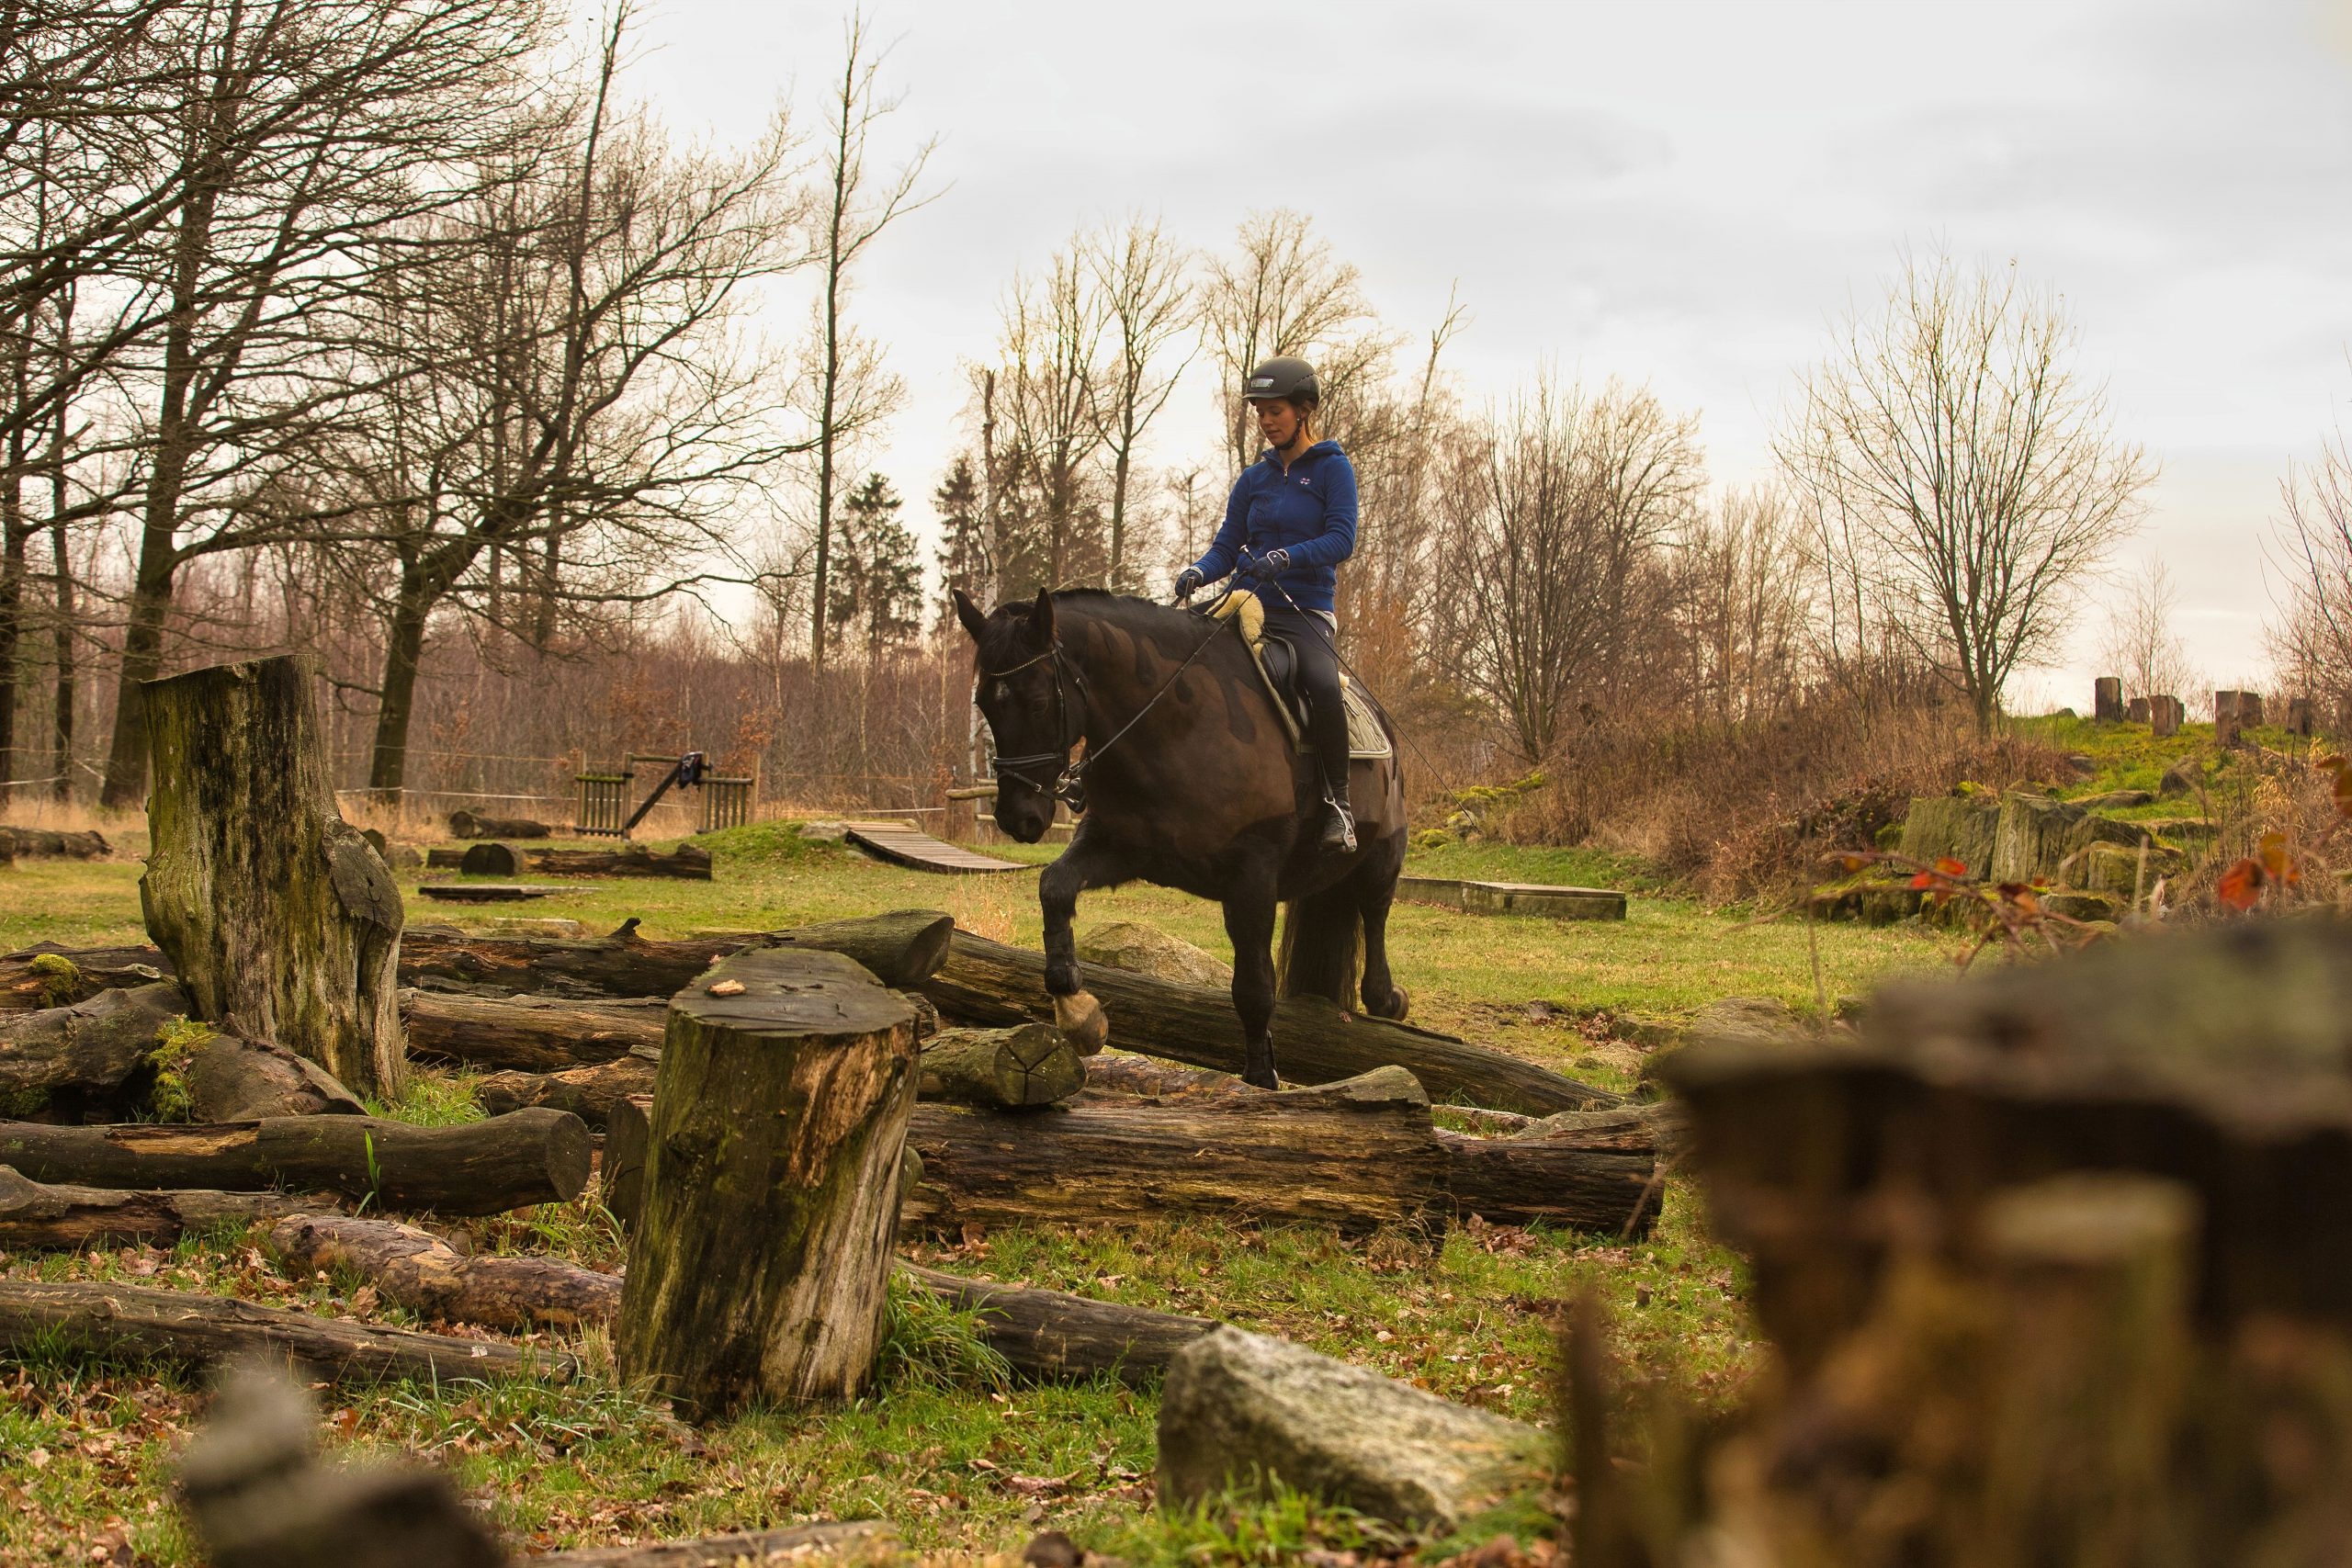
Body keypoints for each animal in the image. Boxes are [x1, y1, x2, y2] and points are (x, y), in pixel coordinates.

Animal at [950, 587, 1401, 1090]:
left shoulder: (1252, 877)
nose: (1017, 817)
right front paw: (1077, 1011)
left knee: (1375, 911)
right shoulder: (1121, 847)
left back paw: (1386, 998)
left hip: (1383, 854)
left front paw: (1259, 1078)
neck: (1176, 728)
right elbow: (1055, 886)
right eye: (984, 704)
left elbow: (1253, 989)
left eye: (1039, 703)